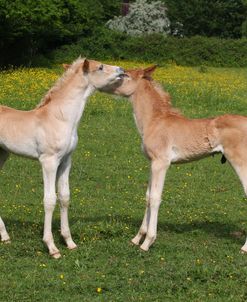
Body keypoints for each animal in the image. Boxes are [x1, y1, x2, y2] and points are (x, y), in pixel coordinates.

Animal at [0, 57, 123, 258]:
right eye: (100, 67)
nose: (121, 70)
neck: (60, 118)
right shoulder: (48, 161)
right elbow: (50, 200)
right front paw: (52, 247)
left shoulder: (65, 161)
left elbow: (64, 197)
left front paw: (69, 242)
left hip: (2, 154)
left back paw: (5, 236)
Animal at [103, 65, 247, 252]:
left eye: (125, 75)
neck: (154, 120)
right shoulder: (152, 163)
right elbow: (148, 196)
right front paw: (137, 238)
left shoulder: (161, 163)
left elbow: (155, 198)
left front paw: (147, 242)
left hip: (240, 161)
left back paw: (244, 247)